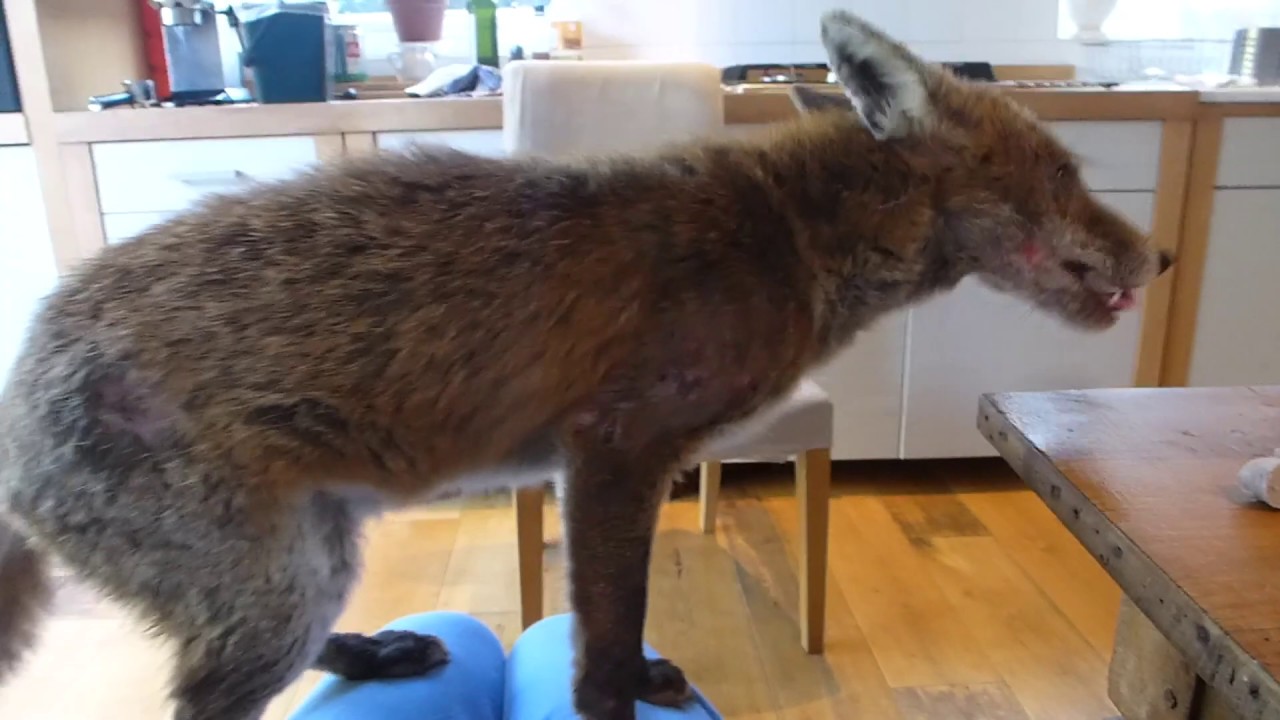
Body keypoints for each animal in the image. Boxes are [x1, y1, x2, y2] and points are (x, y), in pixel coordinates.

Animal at [0, 9, 1172, 720]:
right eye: (1064, 175)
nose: (1161, 257)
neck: (789, 237)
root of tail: (19, 407)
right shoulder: (613, 455)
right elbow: (604, 640)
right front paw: (618, 698)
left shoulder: (626, 467)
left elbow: (627, 622)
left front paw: (651, 675)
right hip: (272, 591)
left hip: (312, 561)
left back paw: (379, 657)